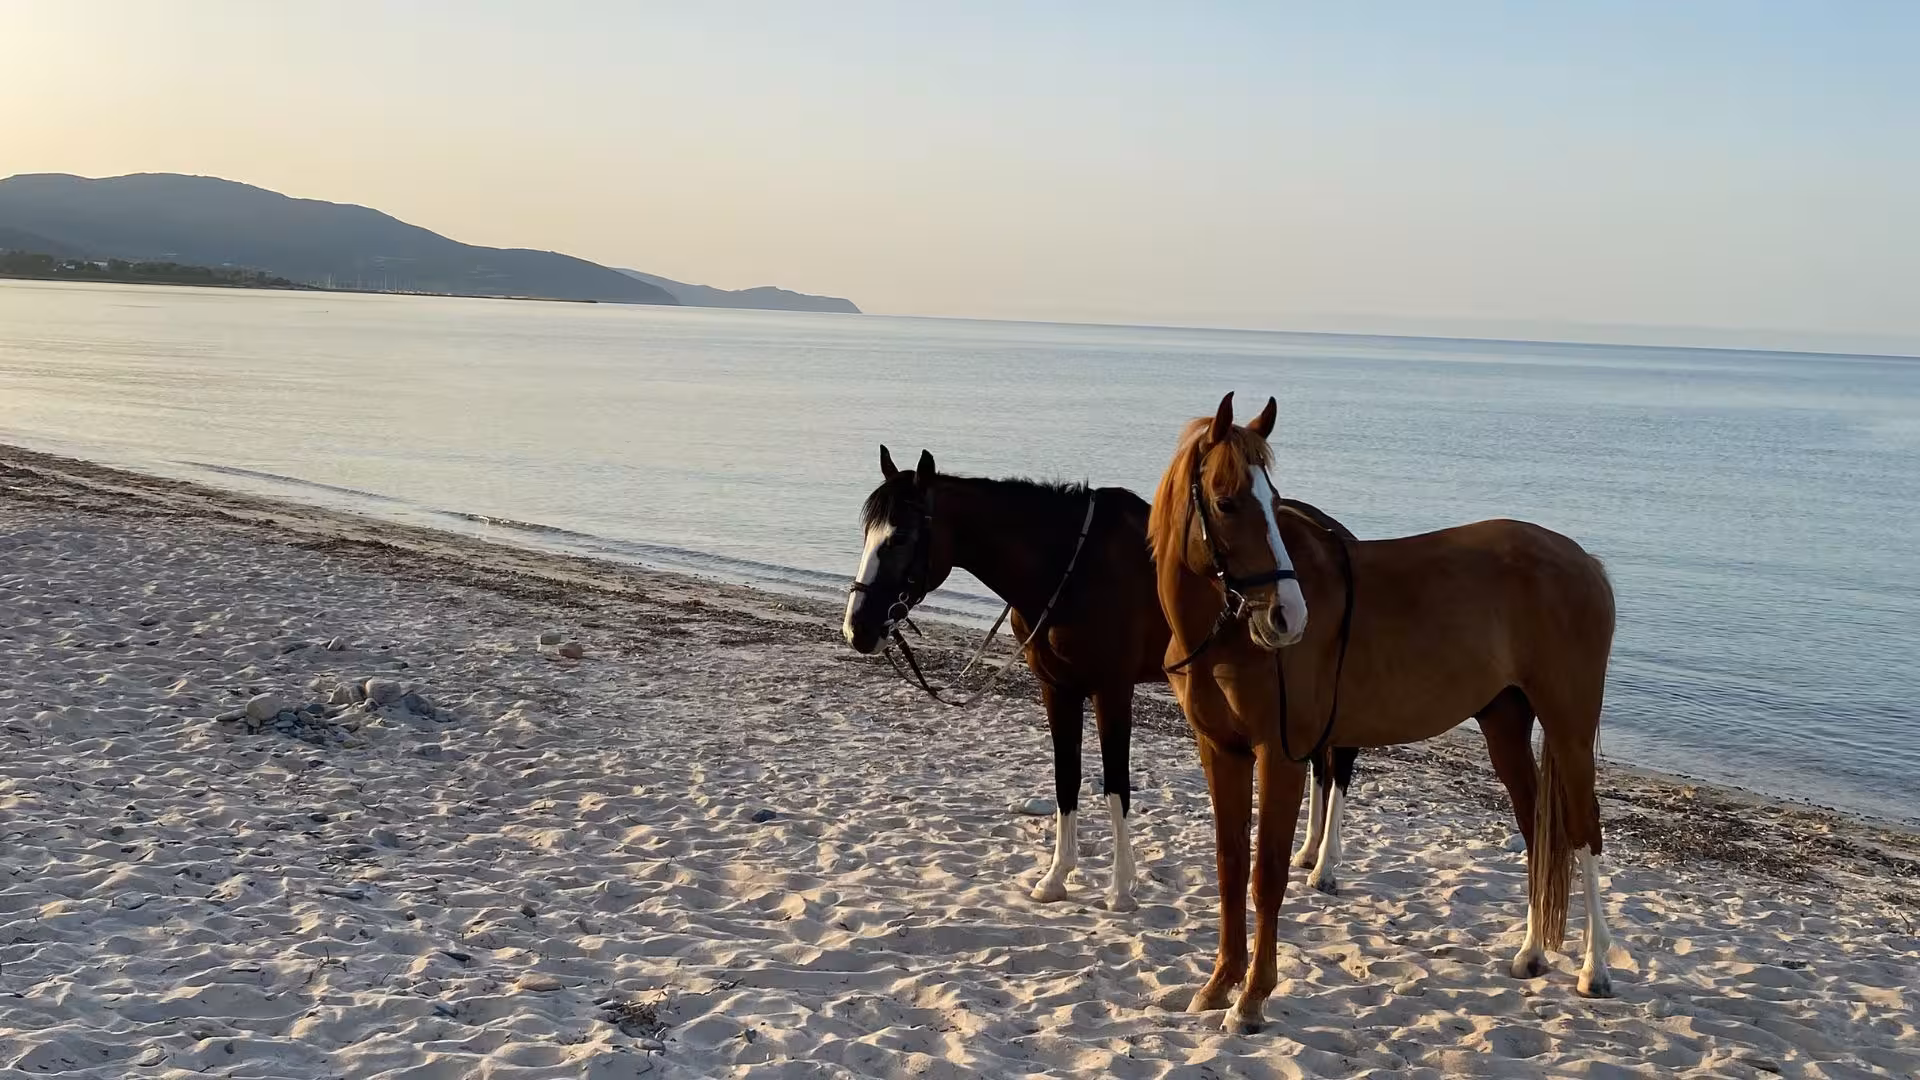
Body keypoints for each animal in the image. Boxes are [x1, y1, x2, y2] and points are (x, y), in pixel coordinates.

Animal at [841, 446, 1374, 906]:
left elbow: (1117, 781)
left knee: (1340, 765)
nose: (858, 628)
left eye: (901, 537)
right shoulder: (1057, 690)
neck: (1071, 567)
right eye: (866, 534)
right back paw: (1307, 852)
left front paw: (1120, 889)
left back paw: (1325, 866)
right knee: (1318, 762)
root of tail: (1337, 536)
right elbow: (1067, 778)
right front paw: (1056, 878)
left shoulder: (1111, 690)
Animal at [1149, 392, 1617, 1035]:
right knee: (1536, 830)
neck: (1226, 636)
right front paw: (1218, 985)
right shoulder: (1221, 752)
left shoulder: (1281, 756)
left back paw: (1595, 969)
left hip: (1569, 726)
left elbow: (1266, 877)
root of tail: (1584, 561)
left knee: (1583, 830)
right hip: (1505, 724)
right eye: (1226, 501)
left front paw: (1251, 1000)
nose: (1288, 617)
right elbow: (1228, 867)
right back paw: (1532, 954)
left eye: (1273, 497)